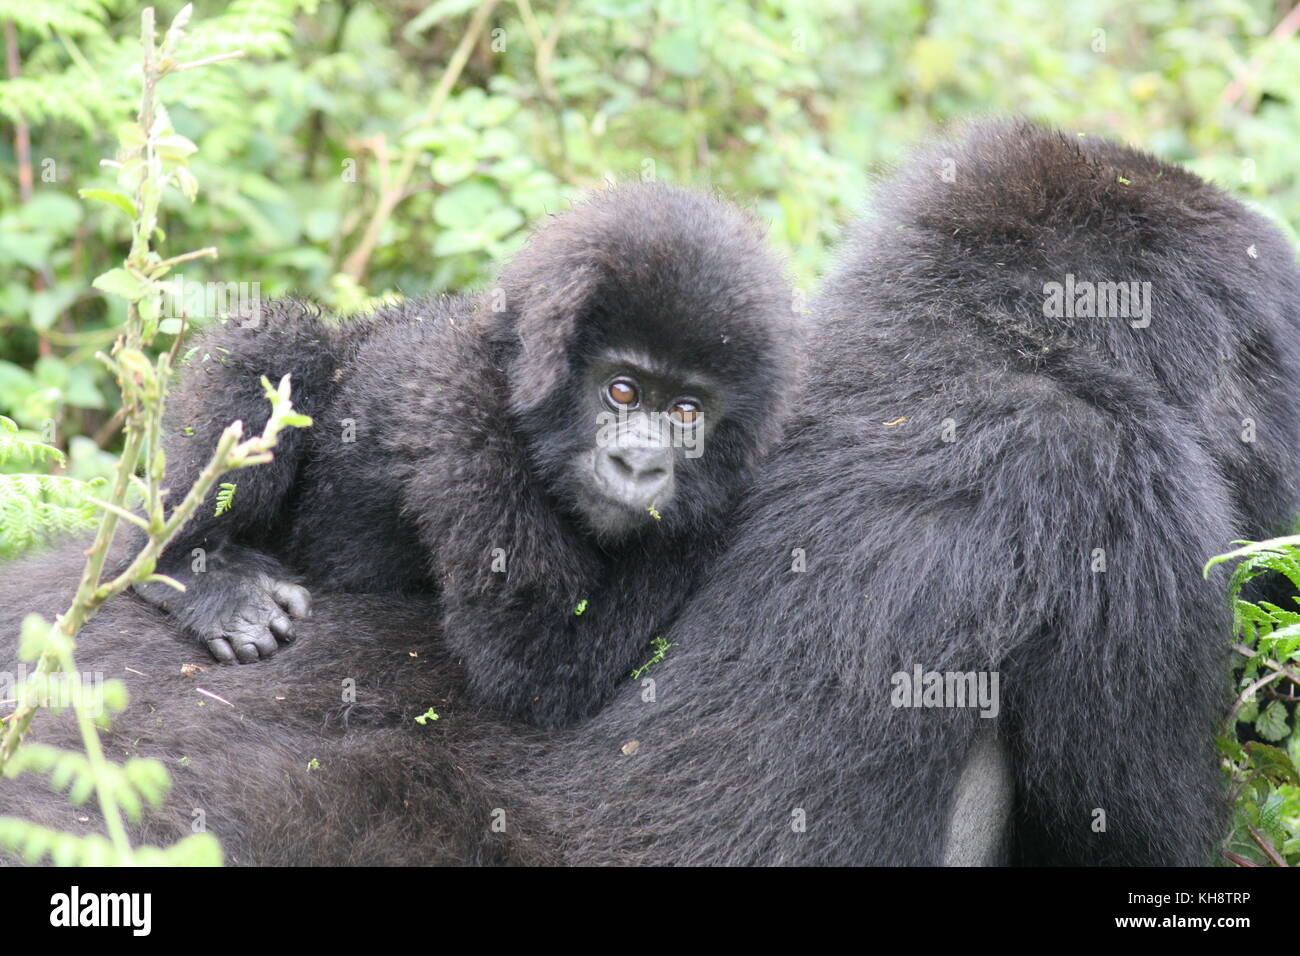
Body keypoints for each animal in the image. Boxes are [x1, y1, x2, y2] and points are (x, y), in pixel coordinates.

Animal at [134, 184, 800, 723]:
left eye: (687, 412)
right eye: (622, 391)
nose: (638, 465)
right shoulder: (465, 421)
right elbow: (534, 662)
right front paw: (714, 521)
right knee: (280, 344)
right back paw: (194, 572)